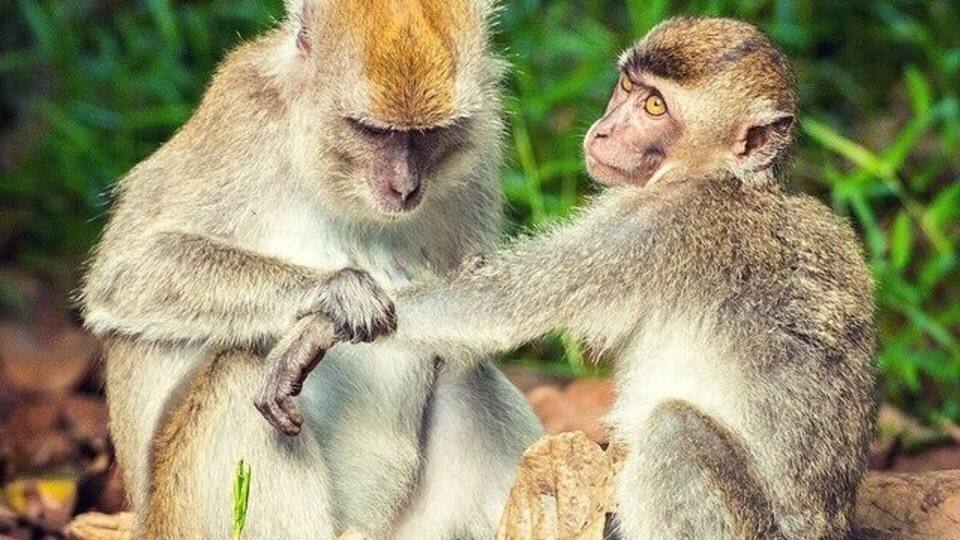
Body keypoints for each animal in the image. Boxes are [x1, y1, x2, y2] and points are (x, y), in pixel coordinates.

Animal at [79, 0, 543, 538]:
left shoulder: (480, 146)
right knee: (238, 370)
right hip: (183, 518)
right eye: (371, 130)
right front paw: (339, 297)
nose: (405, 187)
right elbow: (130, 269)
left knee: (466, 375)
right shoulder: (243, 118)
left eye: (430, 134)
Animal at [263, 16, 878, 539]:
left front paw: (321, 326)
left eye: (656, 106)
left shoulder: (660, 227)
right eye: (628, 87)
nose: (605, 132)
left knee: (674, 431)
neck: (728, 180)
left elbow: (499, 307)